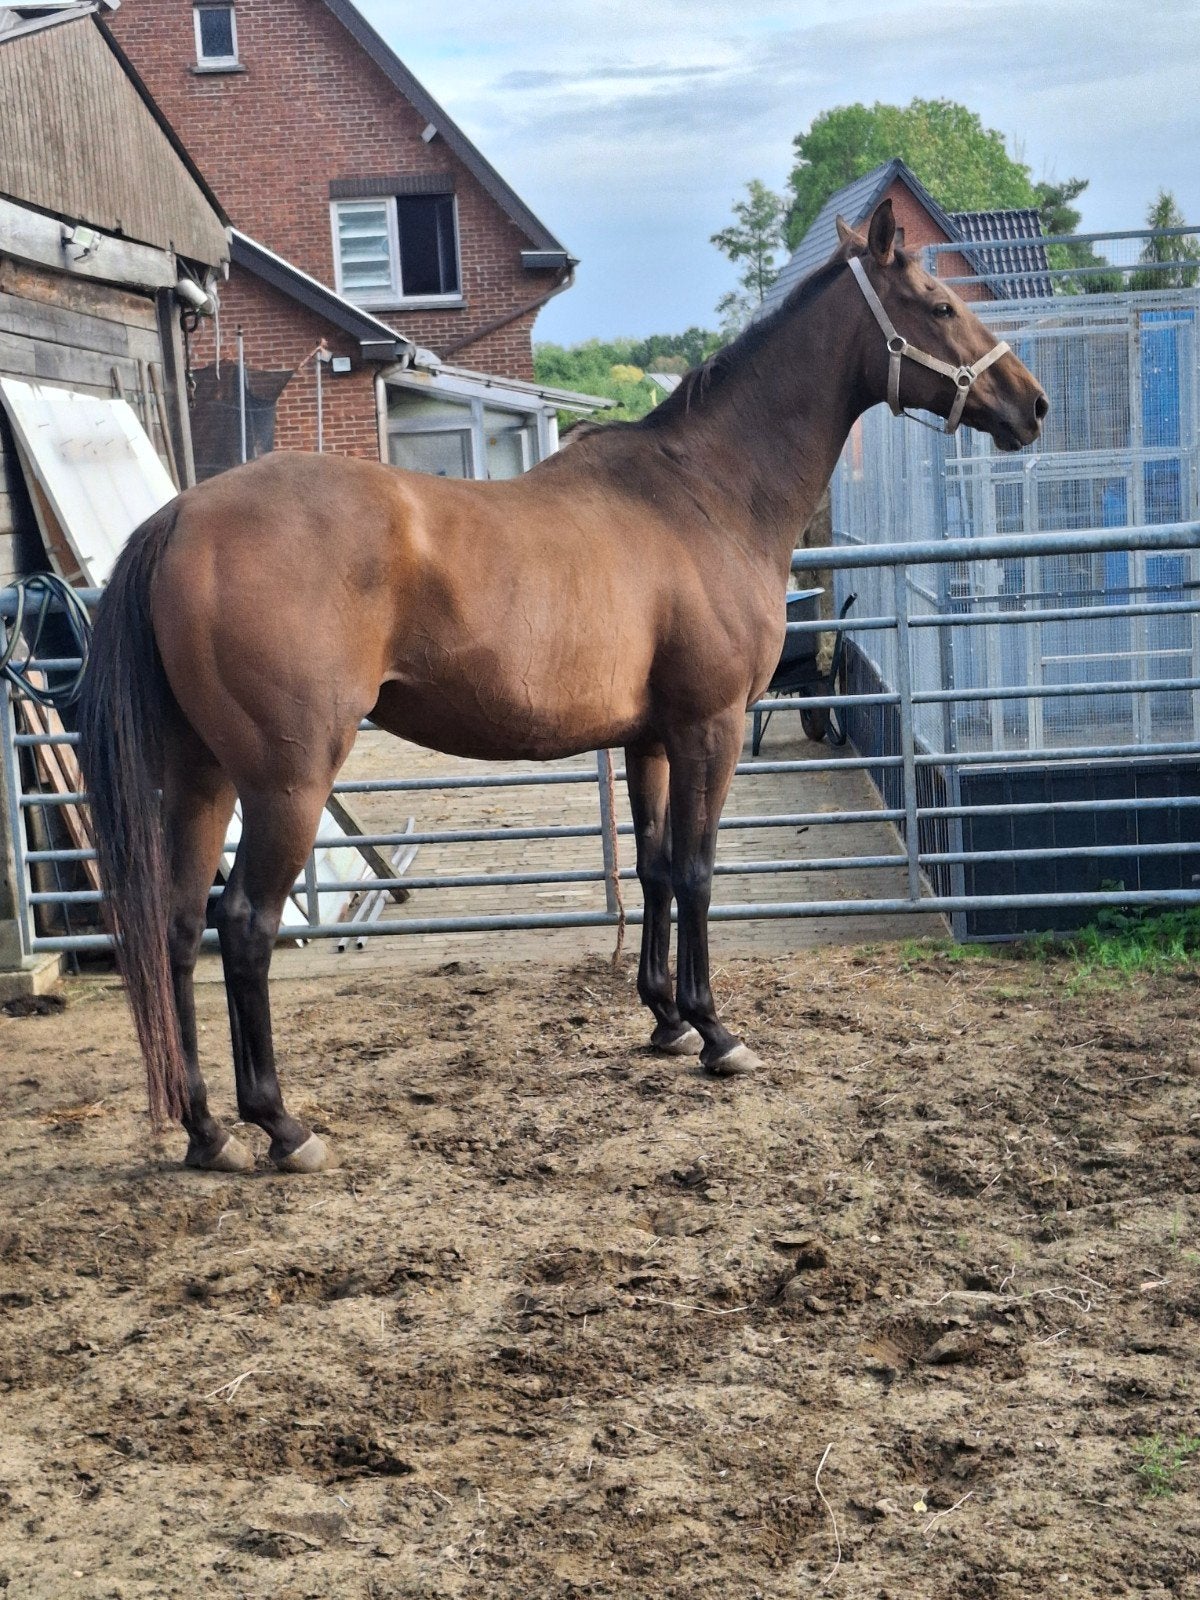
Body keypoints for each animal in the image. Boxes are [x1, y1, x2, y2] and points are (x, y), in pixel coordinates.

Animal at [77, 200, 1048, 1175]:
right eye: (937, 306)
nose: (1032, 404)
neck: (706, 494)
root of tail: (181, 516)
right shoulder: (710, 728)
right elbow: (697, 870)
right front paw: (716, 1032)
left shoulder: (649, 738)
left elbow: (654, 867)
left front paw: (664, 1019)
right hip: (287, 782)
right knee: (243, 926)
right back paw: (281, 1125)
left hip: (200, 779)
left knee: (175, 928)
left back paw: (206, 1132)